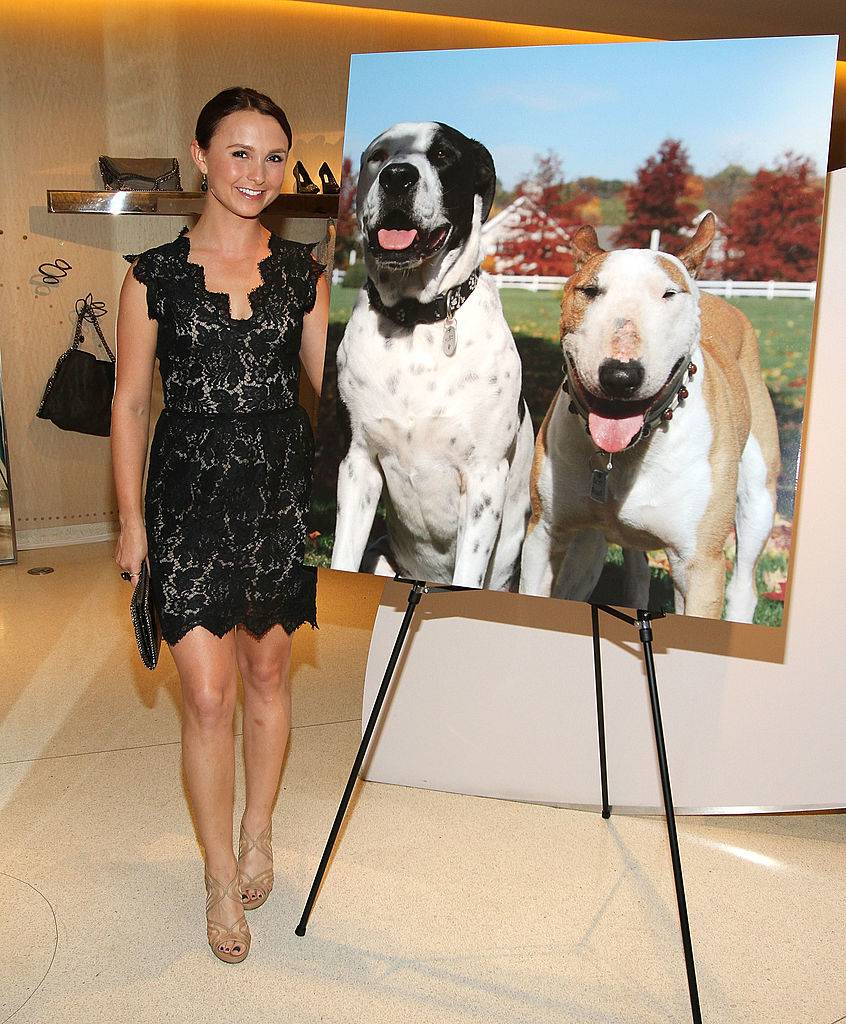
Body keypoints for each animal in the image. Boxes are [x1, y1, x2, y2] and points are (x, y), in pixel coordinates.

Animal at [327, 120, 532, 589]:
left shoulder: (483, 478)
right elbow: (342, 558)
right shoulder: (358, 463)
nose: (398, 176)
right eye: (378, 156)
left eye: (442, 155)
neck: (414, 319)